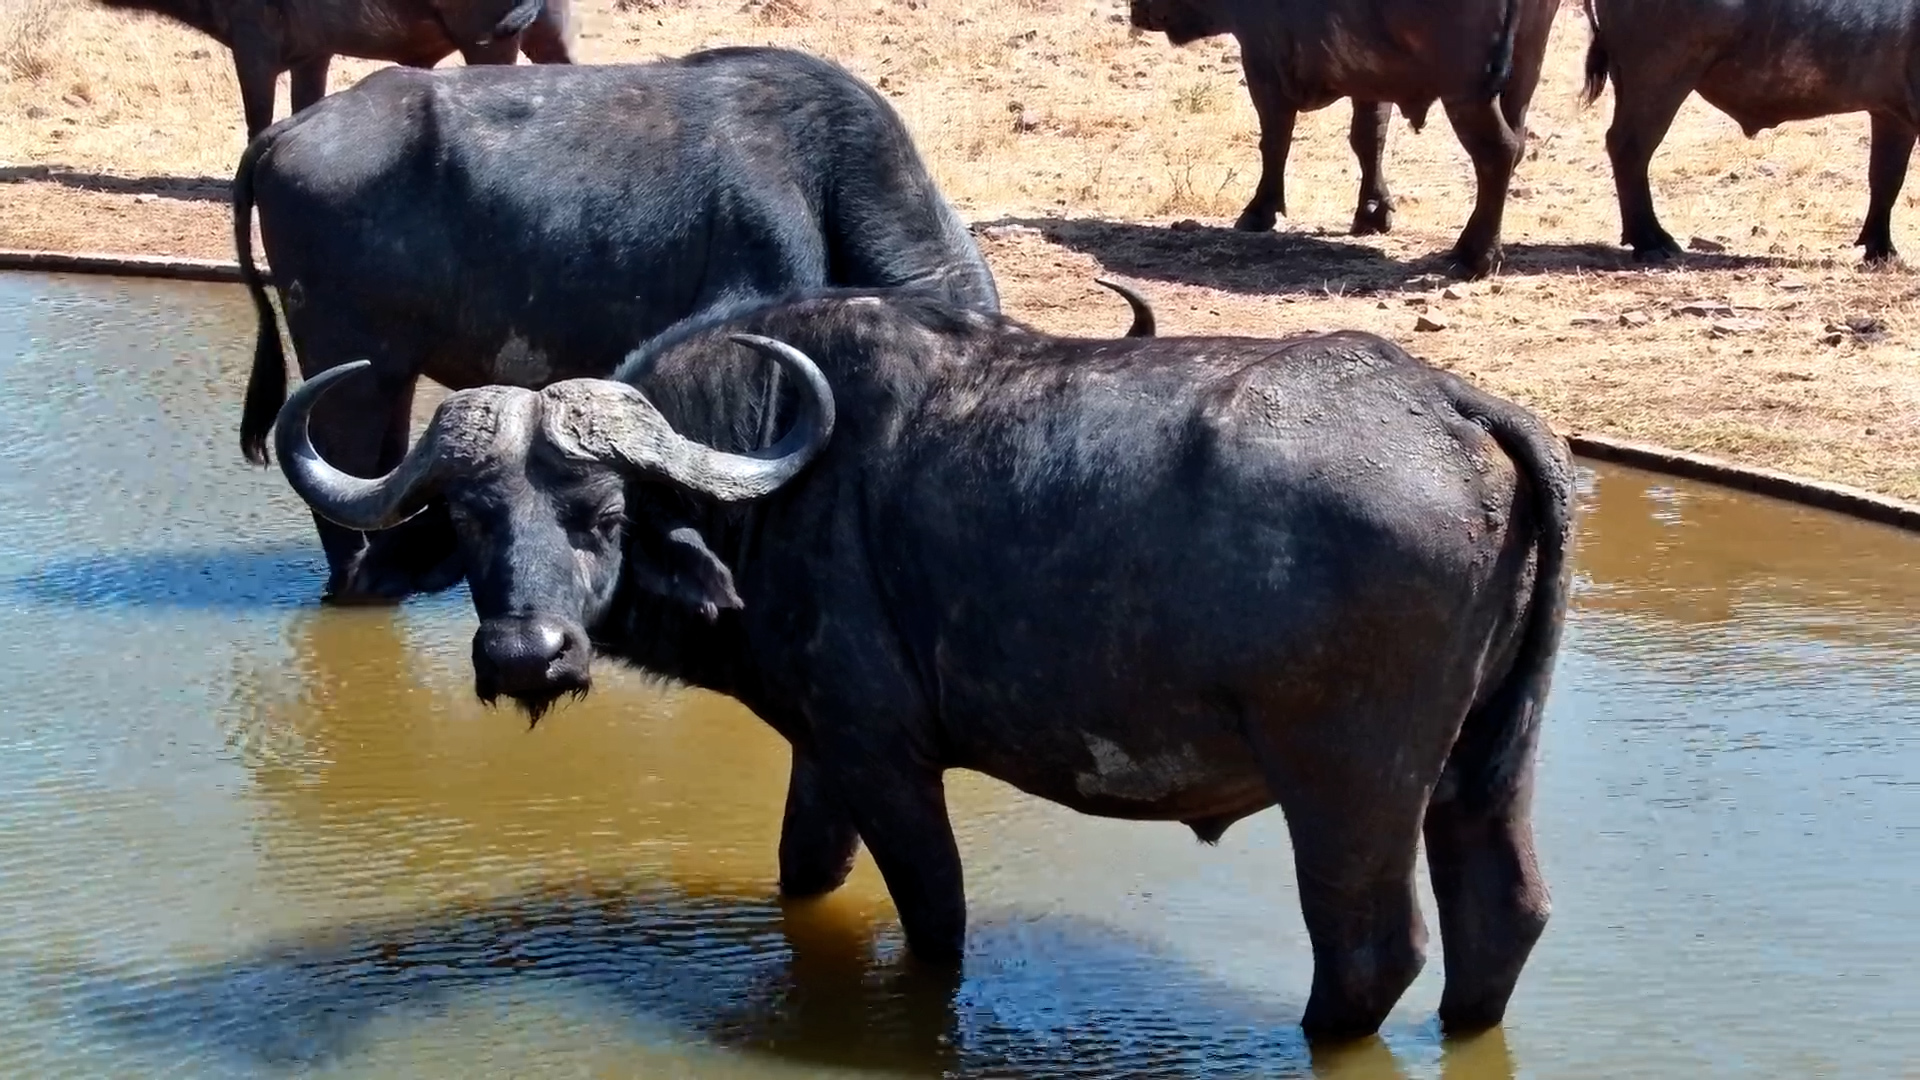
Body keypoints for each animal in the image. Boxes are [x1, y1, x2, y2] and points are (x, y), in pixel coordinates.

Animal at [94, 0, 574, 139]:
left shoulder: (253, 48)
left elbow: (257, 119)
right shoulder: (312, 56)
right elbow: (303, 107)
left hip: (488, 42)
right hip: (546, 36)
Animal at [271, 287, 1576, 1042]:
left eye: (599, 513)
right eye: (473, 517)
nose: (524, 653)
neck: (775, 476)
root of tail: (1452, 405)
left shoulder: (887, 760)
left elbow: (938, 918)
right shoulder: (822, 751)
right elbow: (804, 872)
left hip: (1348, 784)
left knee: (1369, 954)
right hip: (1486, 760)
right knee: (1499, 918)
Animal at [1128, 0, 1559, 277]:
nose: (1138, 9)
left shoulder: (1261, 60)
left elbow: (1275, 139)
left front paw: (1259, 210)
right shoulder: (1370, 76)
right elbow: (1369, 137)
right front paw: (1372, 211)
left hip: (1466, 89)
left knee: (1496, 151)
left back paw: (1474, 254)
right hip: (1524, 72)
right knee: (1516, 147)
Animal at [1581, 0, 1919, 264]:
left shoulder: (1891, 115)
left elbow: (1886, 178)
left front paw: (1881, 249)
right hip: (1660, 78)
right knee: (1629, 147)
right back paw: (1650, 241)